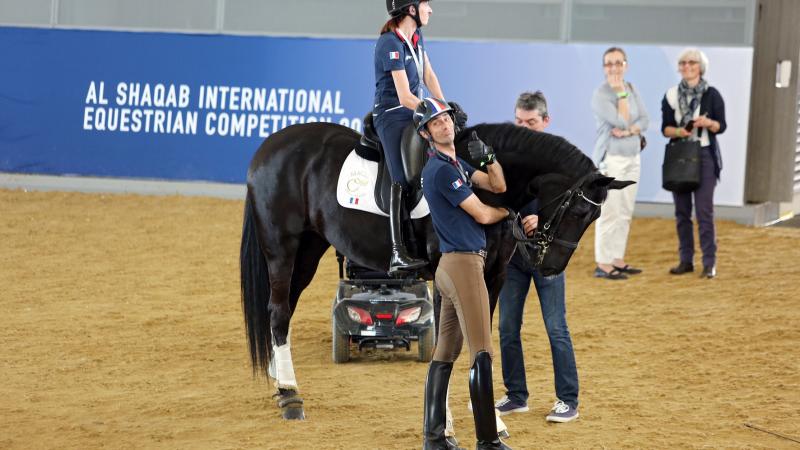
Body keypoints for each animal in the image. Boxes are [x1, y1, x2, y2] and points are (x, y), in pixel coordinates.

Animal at [238, 119, 632, 418]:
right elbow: (449, 346)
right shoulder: (450, 275)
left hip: (308, 248)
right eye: (580, 212)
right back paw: (291, 396)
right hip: (282, 247)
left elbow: (481, 341)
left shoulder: (494, 277)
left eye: (593, 217)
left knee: (282, 311)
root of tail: (268, 147)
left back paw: (279, 381)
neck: (484, 190)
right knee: (277, 311)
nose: (551, 267)